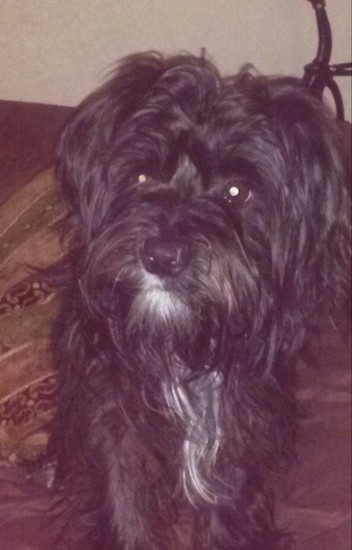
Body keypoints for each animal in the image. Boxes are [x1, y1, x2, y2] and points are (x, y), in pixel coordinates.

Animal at [45, 52, 350, 550]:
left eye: (236, 191)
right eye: (142, 175)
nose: (160, 256)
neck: (181, 338)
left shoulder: (239, 415)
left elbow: (228, 499)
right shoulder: (111, 413)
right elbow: (125, 499)